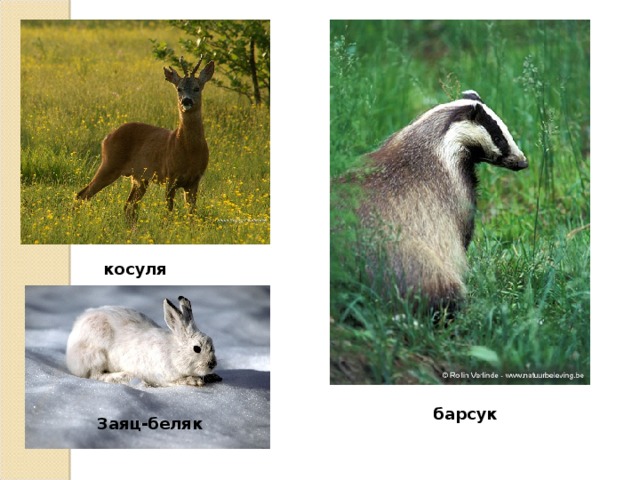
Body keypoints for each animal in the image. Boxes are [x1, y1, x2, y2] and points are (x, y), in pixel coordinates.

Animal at [66, 296, 217, 387]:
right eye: (196, 348)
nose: (212, 364)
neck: (173, 352)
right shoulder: (164, 376)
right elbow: (177, 381)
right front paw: (194, 381)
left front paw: (212, 377)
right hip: (96, 355)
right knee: (95, 375)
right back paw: (124, 376)